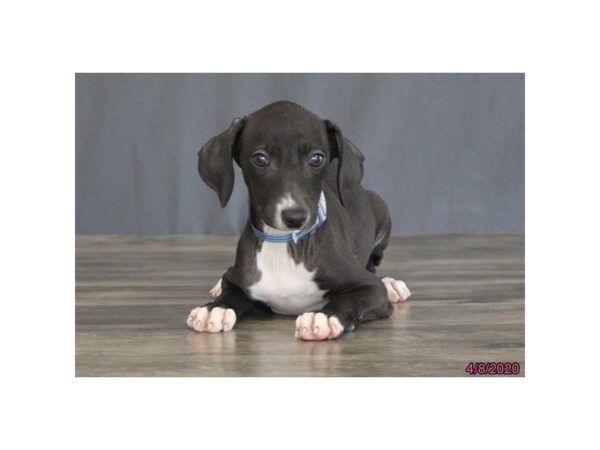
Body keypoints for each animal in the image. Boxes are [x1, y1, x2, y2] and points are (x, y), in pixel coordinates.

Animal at [188, 101, 410, 342]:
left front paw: (324, 316)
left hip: (382, 212)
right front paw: (215, 309)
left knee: (373, 266)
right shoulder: (240, 277)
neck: (284, 243)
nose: (295, 216)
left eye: (316, 159)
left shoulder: (370, 287)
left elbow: (351, 297)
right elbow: (231, 290)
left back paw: (391, 284)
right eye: (260, 159)